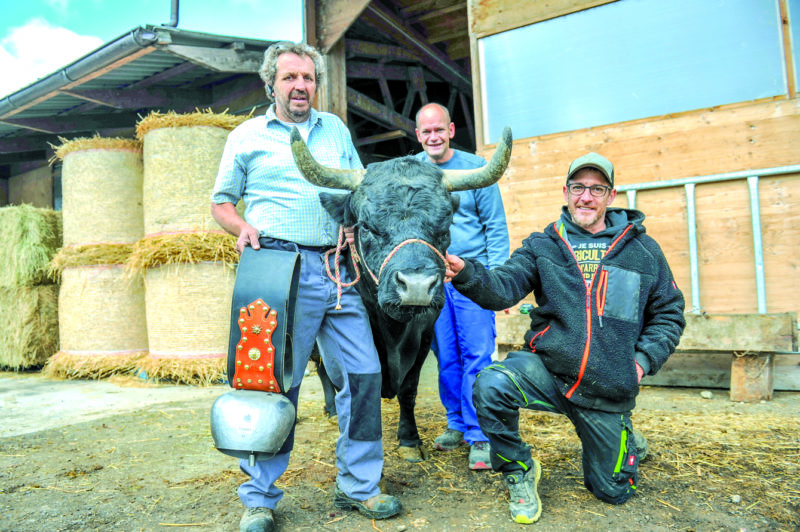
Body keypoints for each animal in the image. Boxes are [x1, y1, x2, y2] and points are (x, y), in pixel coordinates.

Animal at [290, 127, 510, 460]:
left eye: (445, 225)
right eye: (367, 226)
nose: (417, 286)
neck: (393, 329)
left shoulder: (424, 339)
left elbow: (408, 389)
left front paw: (409, 440)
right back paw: (329, 408)